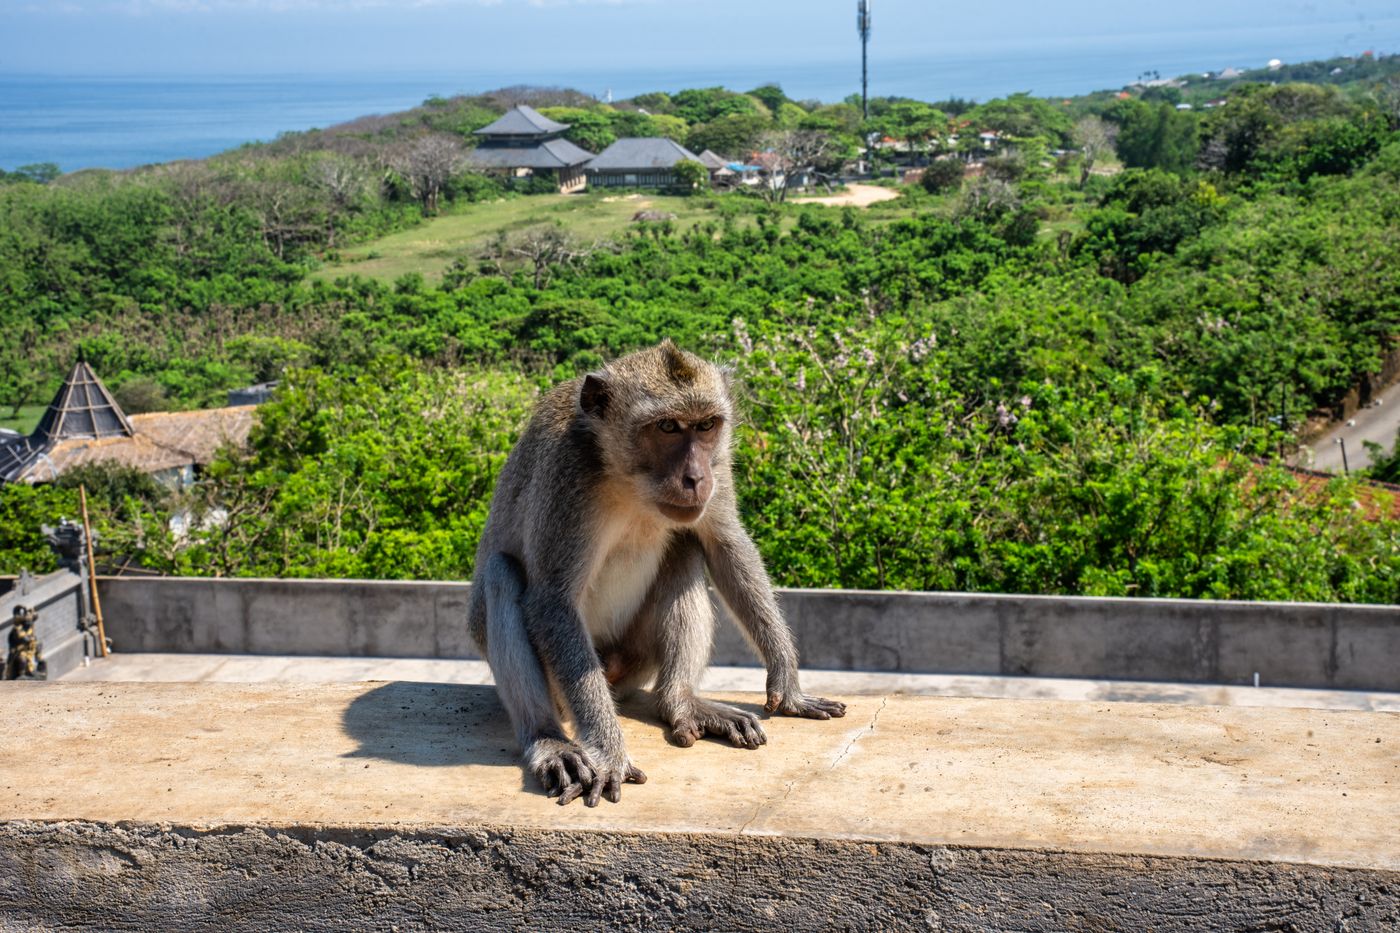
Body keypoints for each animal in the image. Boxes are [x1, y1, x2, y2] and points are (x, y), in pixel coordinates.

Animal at [467, 340, 846, 807]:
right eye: (667, 427)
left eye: (706, 426)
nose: (695, 477)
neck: (629, 482)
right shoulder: (567, 474)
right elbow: (552, 598)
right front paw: (608, 751)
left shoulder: (720, 466)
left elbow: (723, 545)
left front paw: (788, 683)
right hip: (566, 685)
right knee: (502, 573)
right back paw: (549, 741)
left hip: (636, 658)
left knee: (686, 547)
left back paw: (679, 701)